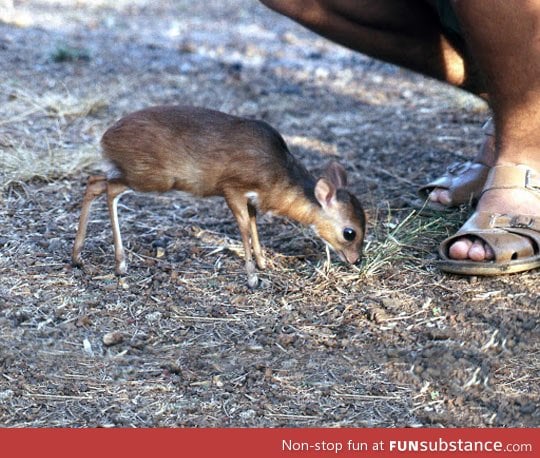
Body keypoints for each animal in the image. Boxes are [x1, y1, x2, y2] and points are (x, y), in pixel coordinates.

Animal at [71, 105, 364, 288]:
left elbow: (254, 226)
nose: (357, 260)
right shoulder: (231, 187)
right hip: (149, 177)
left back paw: (77, 257)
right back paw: (119, 264)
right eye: (350, 233)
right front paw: (252, 278)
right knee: (107, 189)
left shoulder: (251, 198)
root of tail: (104, 139)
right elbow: (244, 227)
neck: (279, 177)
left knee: (94, 182)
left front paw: (263, 263)